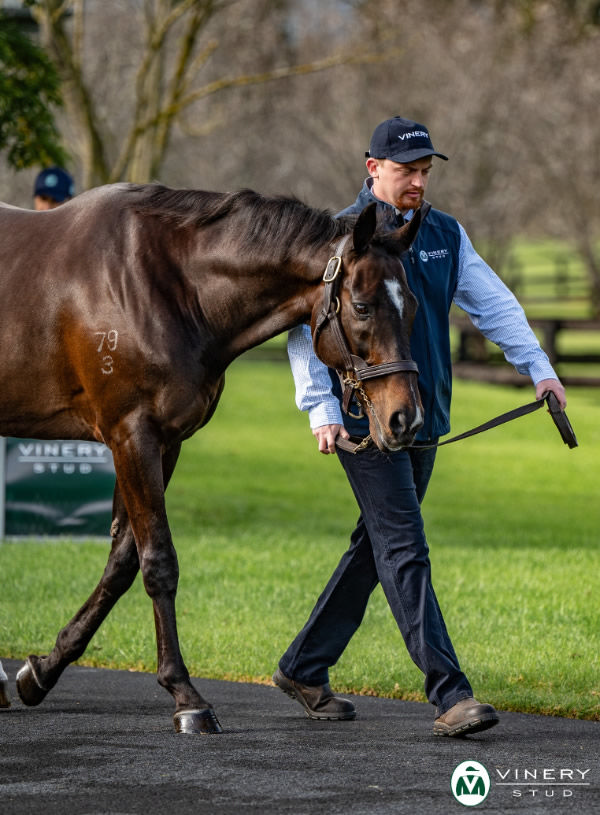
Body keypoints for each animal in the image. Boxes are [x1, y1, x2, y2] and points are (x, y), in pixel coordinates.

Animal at [0, 185, 424, 732]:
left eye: (411, 306)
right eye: (363, 306)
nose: (405, 419)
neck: (164, 286)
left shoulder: (165, 443)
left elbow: (123, 562)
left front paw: (43, 670)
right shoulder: (131, 436)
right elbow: (158, 562)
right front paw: (186, 695)